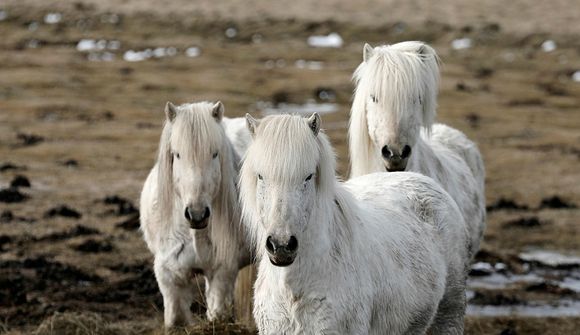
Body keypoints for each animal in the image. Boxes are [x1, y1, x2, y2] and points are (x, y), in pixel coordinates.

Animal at [140, 101, 251, 328]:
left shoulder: (221, 273)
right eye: (177, 154)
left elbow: (218, 314)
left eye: (215, 154)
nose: (197, 214)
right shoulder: (171, 278)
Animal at [238, 113, 468, 335]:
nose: (281, 246)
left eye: (308, 176)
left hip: (449, 313)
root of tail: (425, 182)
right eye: (260, 176)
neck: (293, 290)